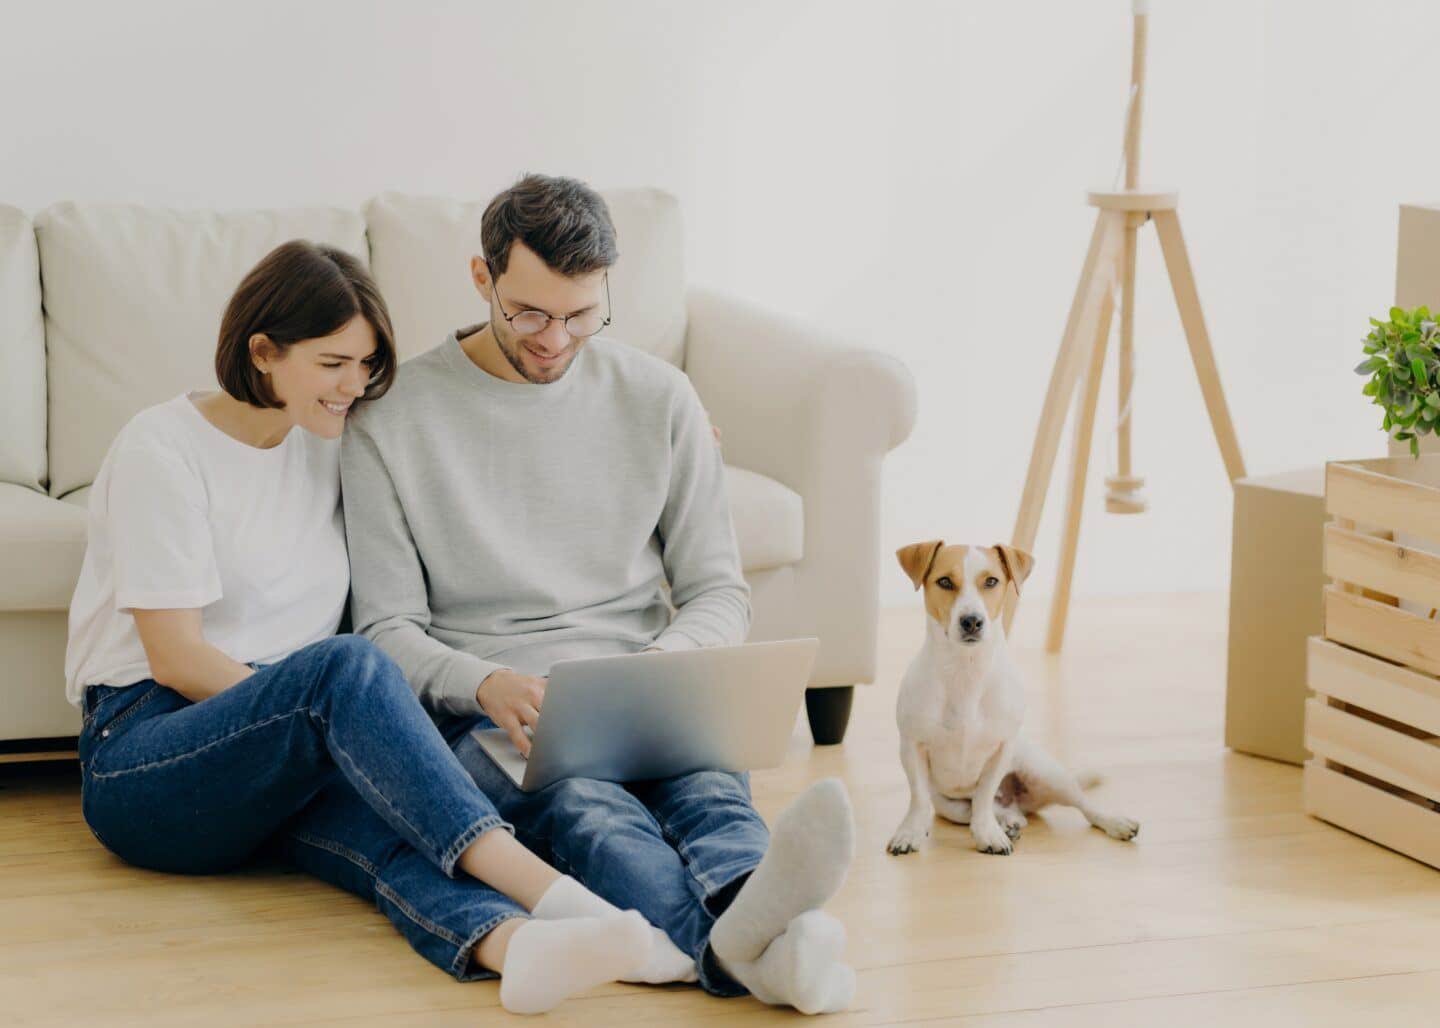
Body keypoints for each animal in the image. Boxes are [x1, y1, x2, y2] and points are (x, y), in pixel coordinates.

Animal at [881, 541, 1140, 852]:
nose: (972, 621)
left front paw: (988, 834)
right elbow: (919, 798)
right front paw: (910, 832)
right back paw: (1009, 822)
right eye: (944, 581)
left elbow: (983, 795)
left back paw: (1114, 822)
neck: (966, 671)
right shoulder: (912, 747)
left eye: (991, 581)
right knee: (992, 811)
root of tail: (1018, 801)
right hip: (950, 805)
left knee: (1084, 805)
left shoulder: (1002, 749)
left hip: (1046, 774)